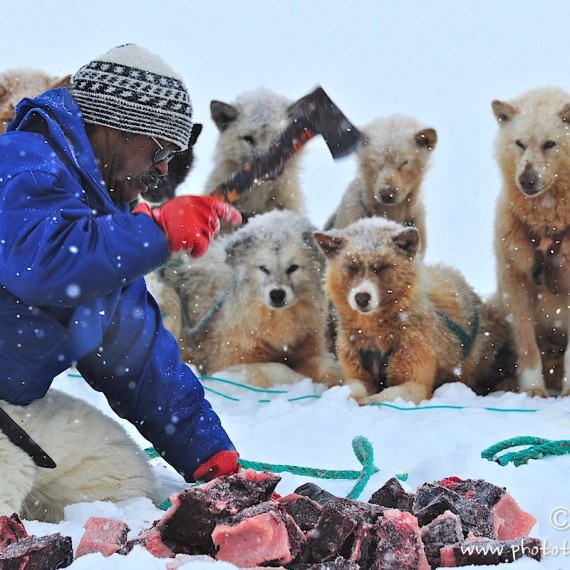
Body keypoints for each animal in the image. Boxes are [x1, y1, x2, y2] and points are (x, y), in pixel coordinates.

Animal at [164, 209, 340, 386]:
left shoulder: (311, 348)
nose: (277, 294)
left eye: (293, 268)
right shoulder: (229, 361)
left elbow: (327, 366)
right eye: (263, 268)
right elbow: (279, 368)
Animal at [312, 217, 512, 404]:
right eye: (352, 266)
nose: (361, 298)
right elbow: (351, 390)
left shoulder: (416, 385)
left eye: (381, 266)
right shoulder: (357, 375)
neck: (376, 333)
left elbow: (382, 397)